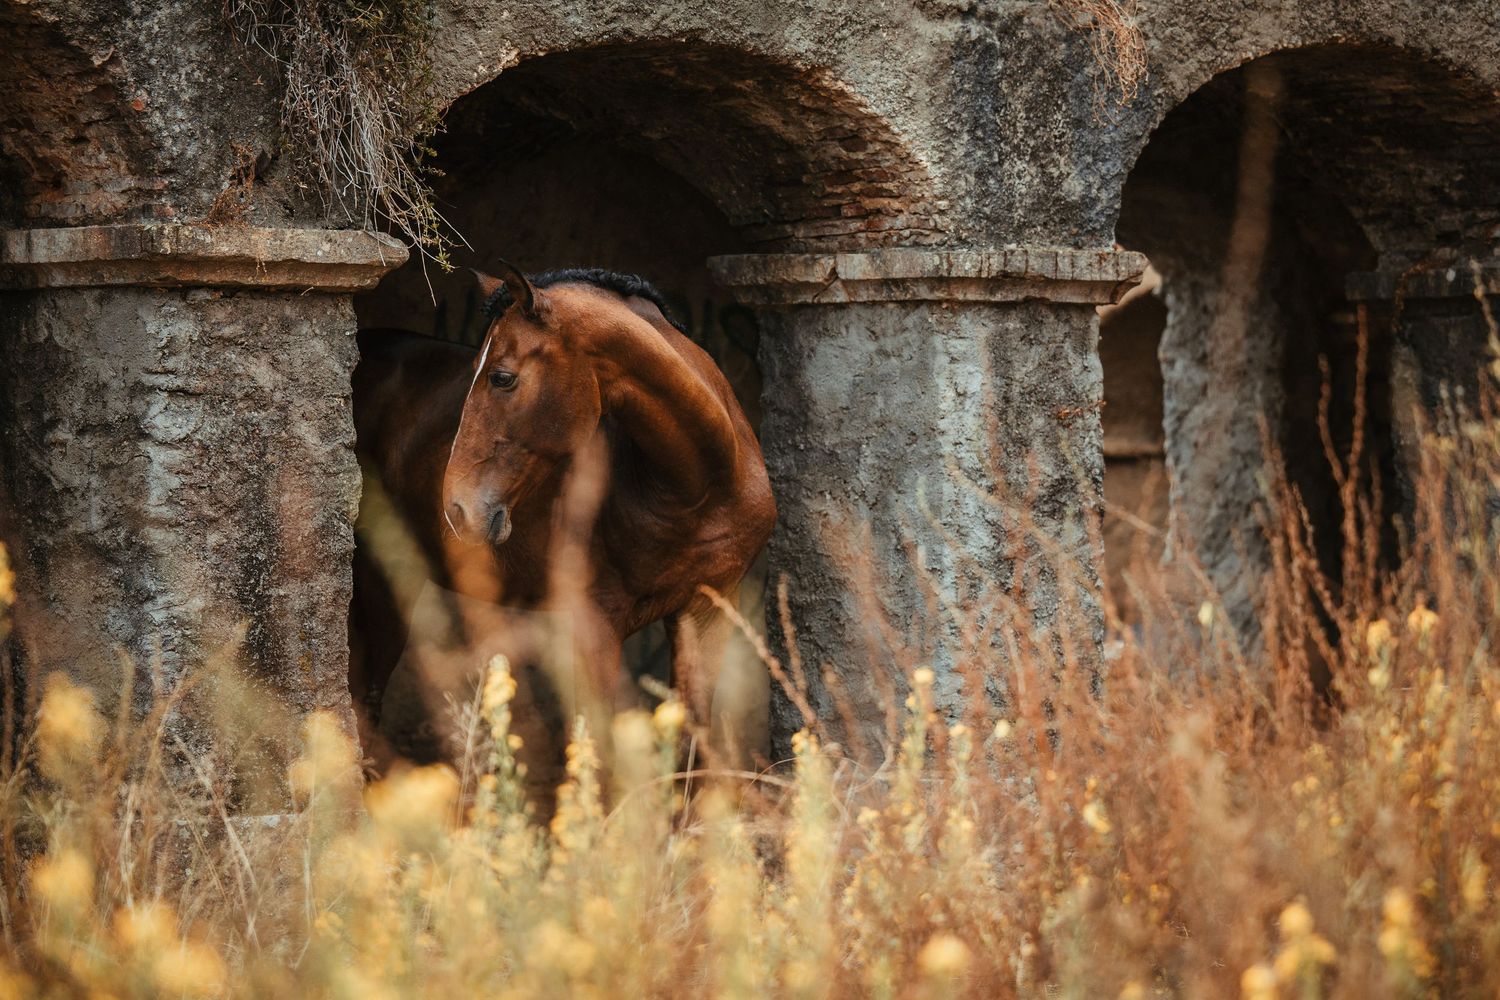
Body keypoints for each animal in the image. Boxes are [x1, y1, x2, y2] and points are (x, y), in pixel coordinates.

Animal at [349, 263, 775, 780]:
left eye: (502, 377)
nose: (457, 510)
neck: (697, 488)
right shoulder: (594, 626)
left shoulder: (709, 611)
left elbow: (692, 748)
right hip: (382, 591)